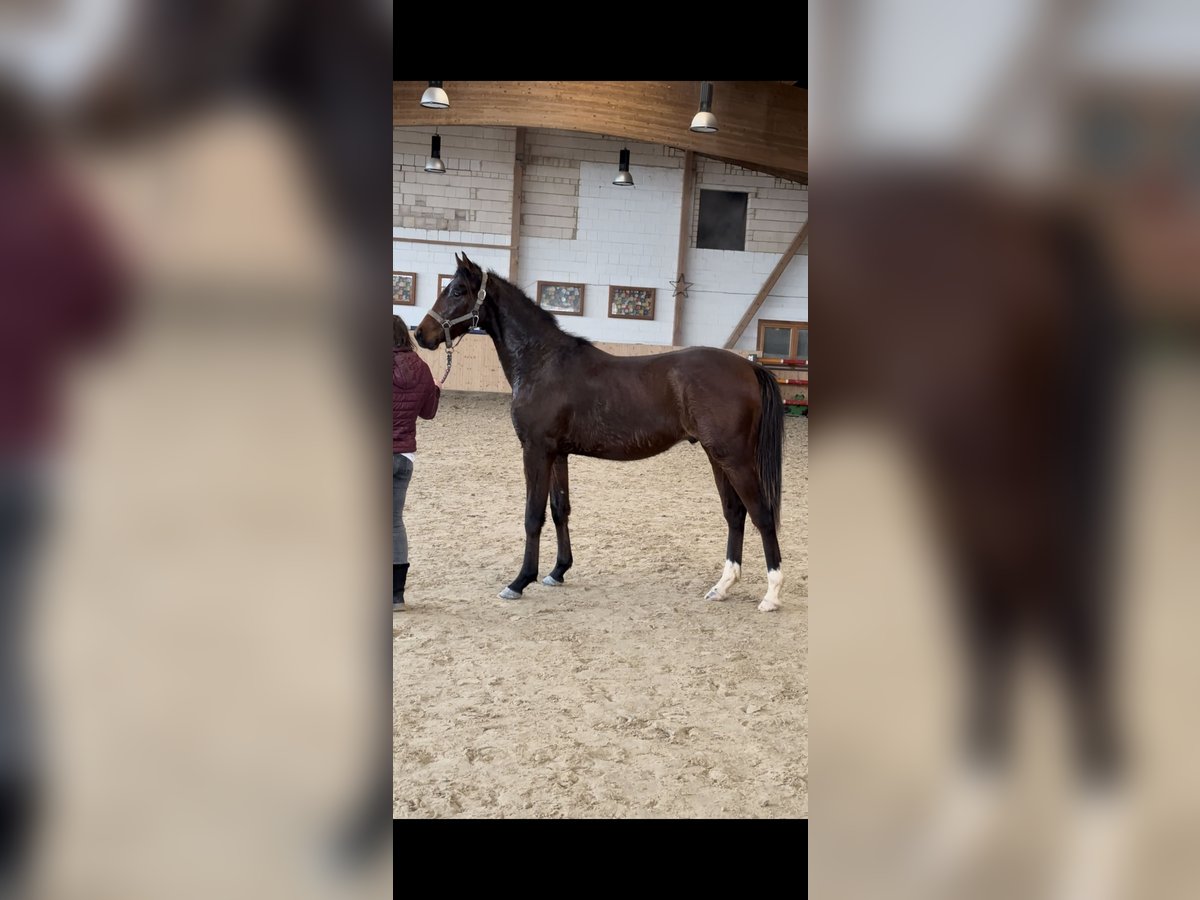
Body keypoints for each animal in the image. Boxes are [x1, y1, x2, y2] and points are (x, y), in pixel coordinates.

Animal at [415, 254, 787, 614]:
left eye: (457, 291)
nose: (421, 334)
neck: (542, 362)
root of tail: (749, 366)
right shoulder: (557, 453)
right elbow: (559, 509)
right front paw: (558, 571)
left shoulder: (535, 450)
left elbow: (533, 515)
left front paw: (520, 581)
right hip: (717, 457)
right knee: (735, 514)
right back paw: (722, 587)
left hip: (735, 459)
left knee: (762, 514)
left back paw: (771, 595)